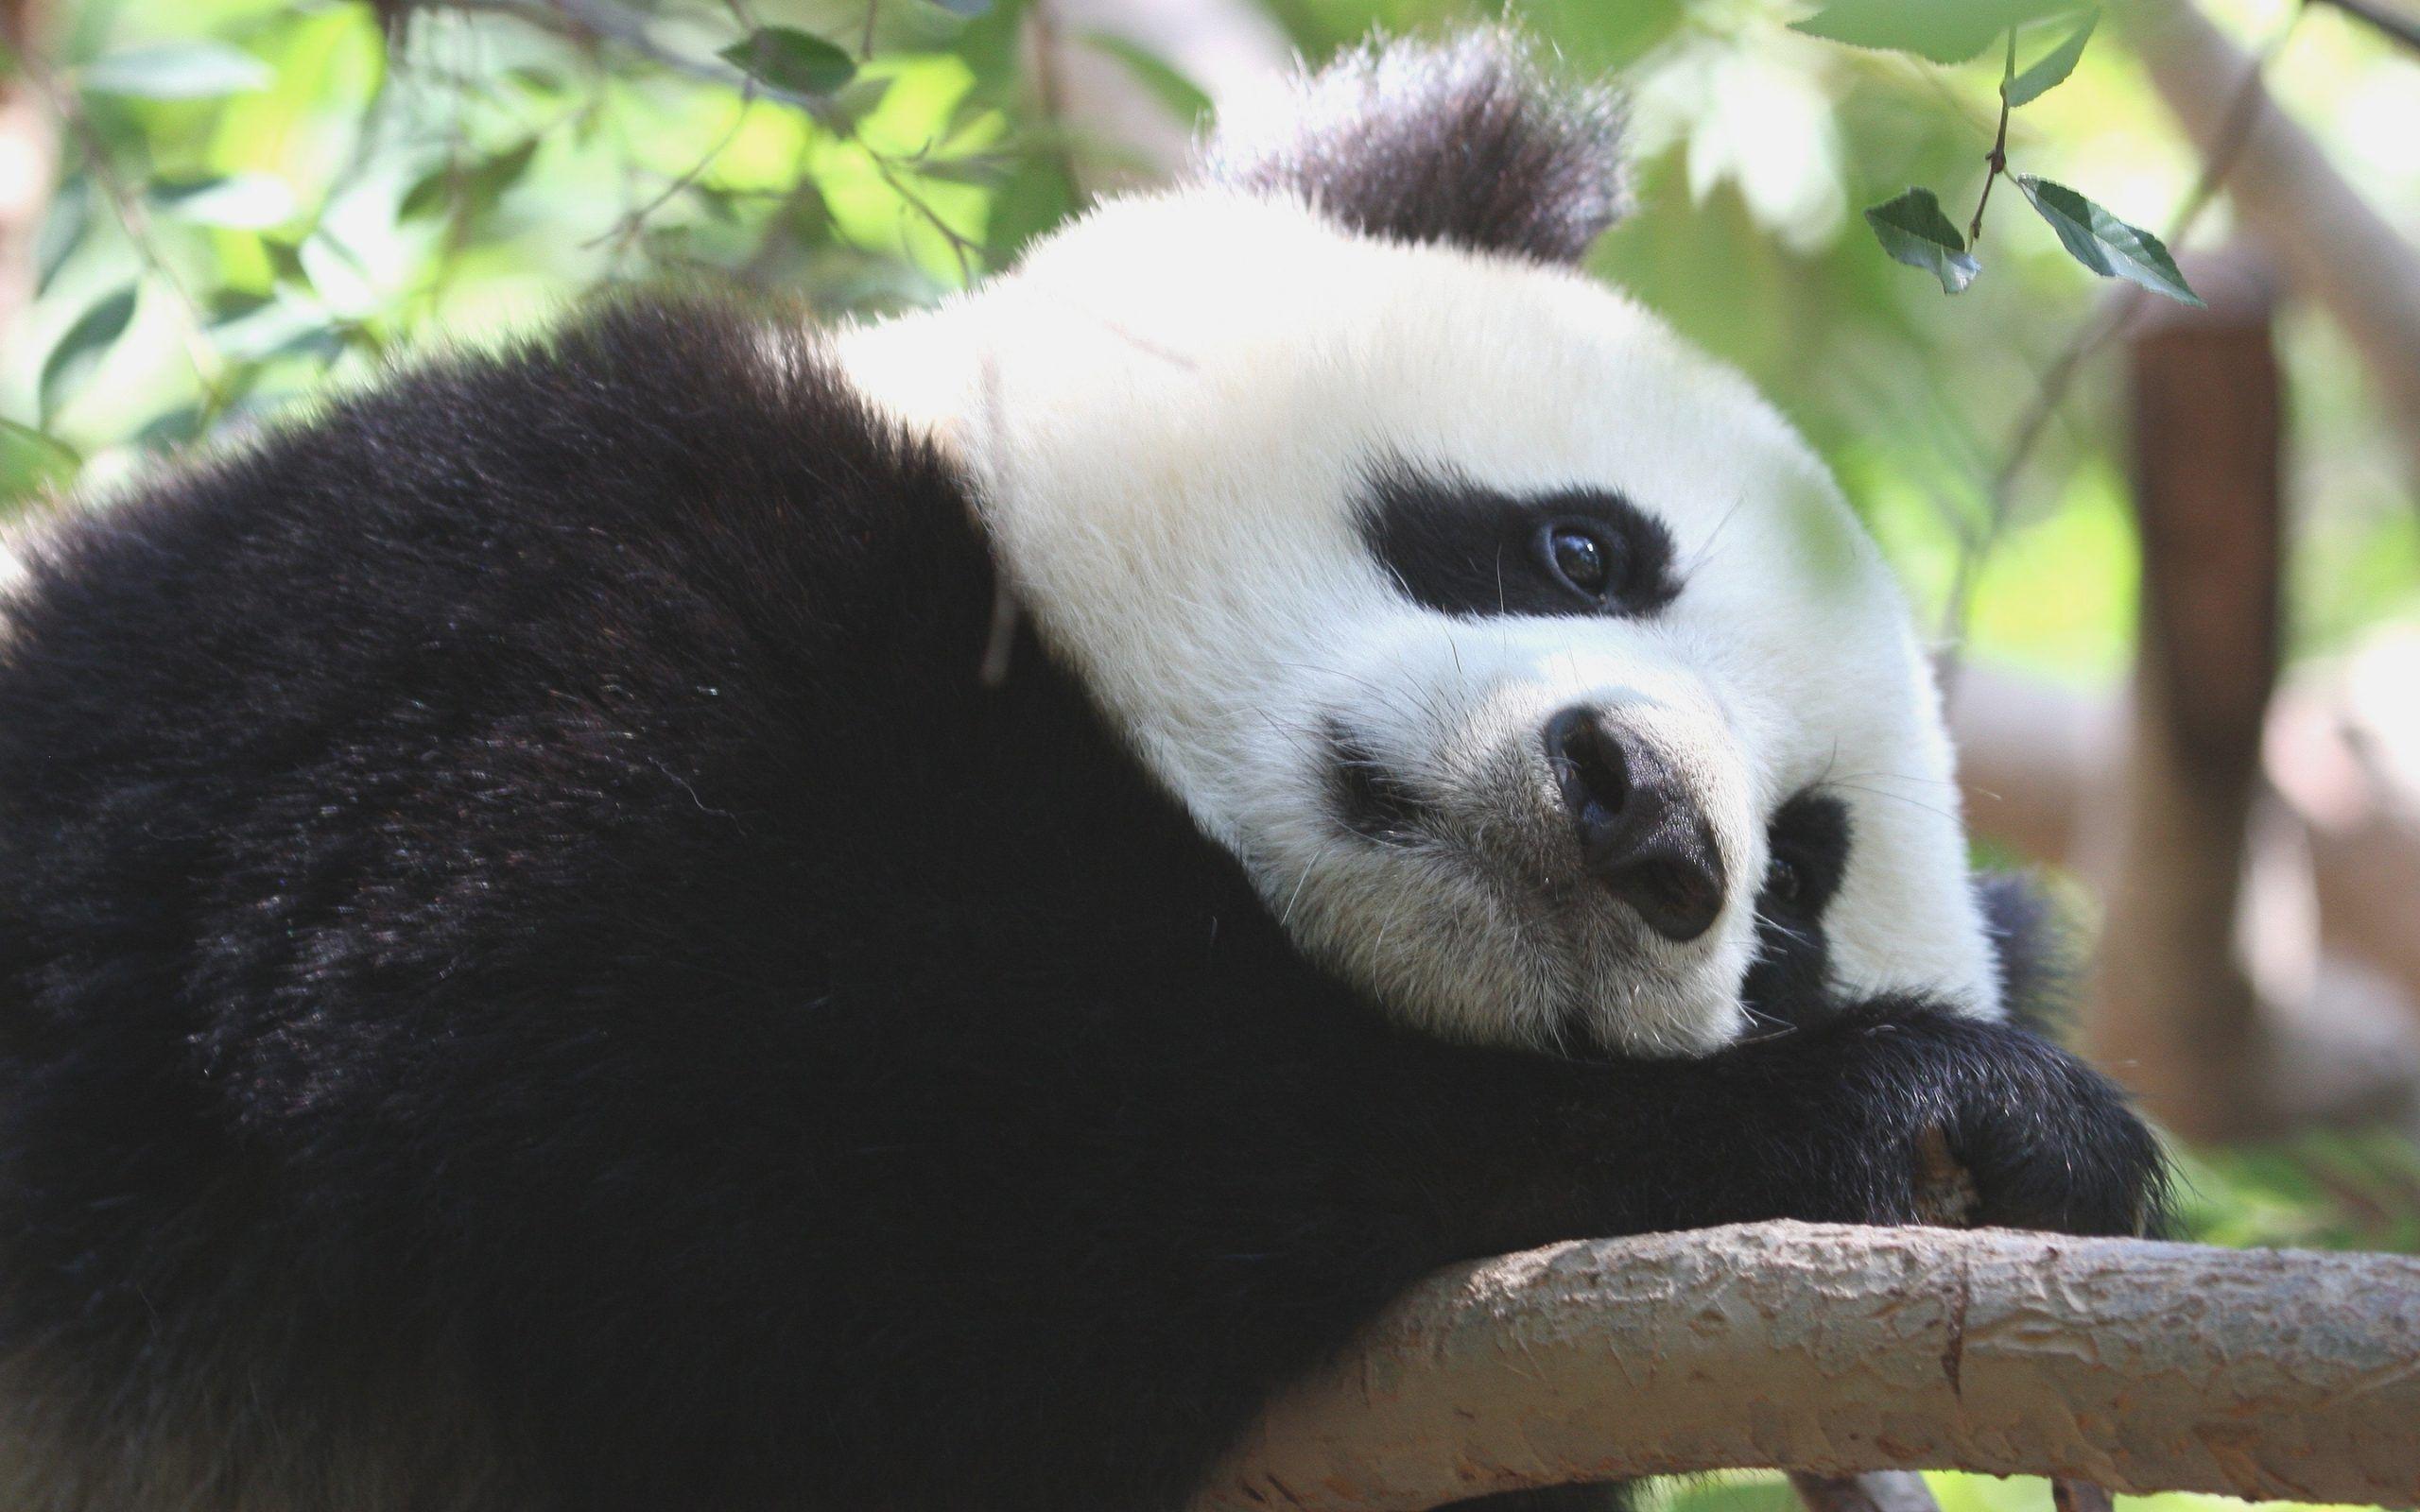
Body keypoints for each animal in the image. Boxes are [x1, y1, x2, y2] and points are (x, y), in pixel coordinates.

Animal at [0, 30, 2162, 1512]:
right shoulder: (518, 590)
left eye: (1792, 893)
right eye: (1578, 549)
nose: (1642, 814)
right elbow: (763, 1124)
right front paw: (1924, 1113)